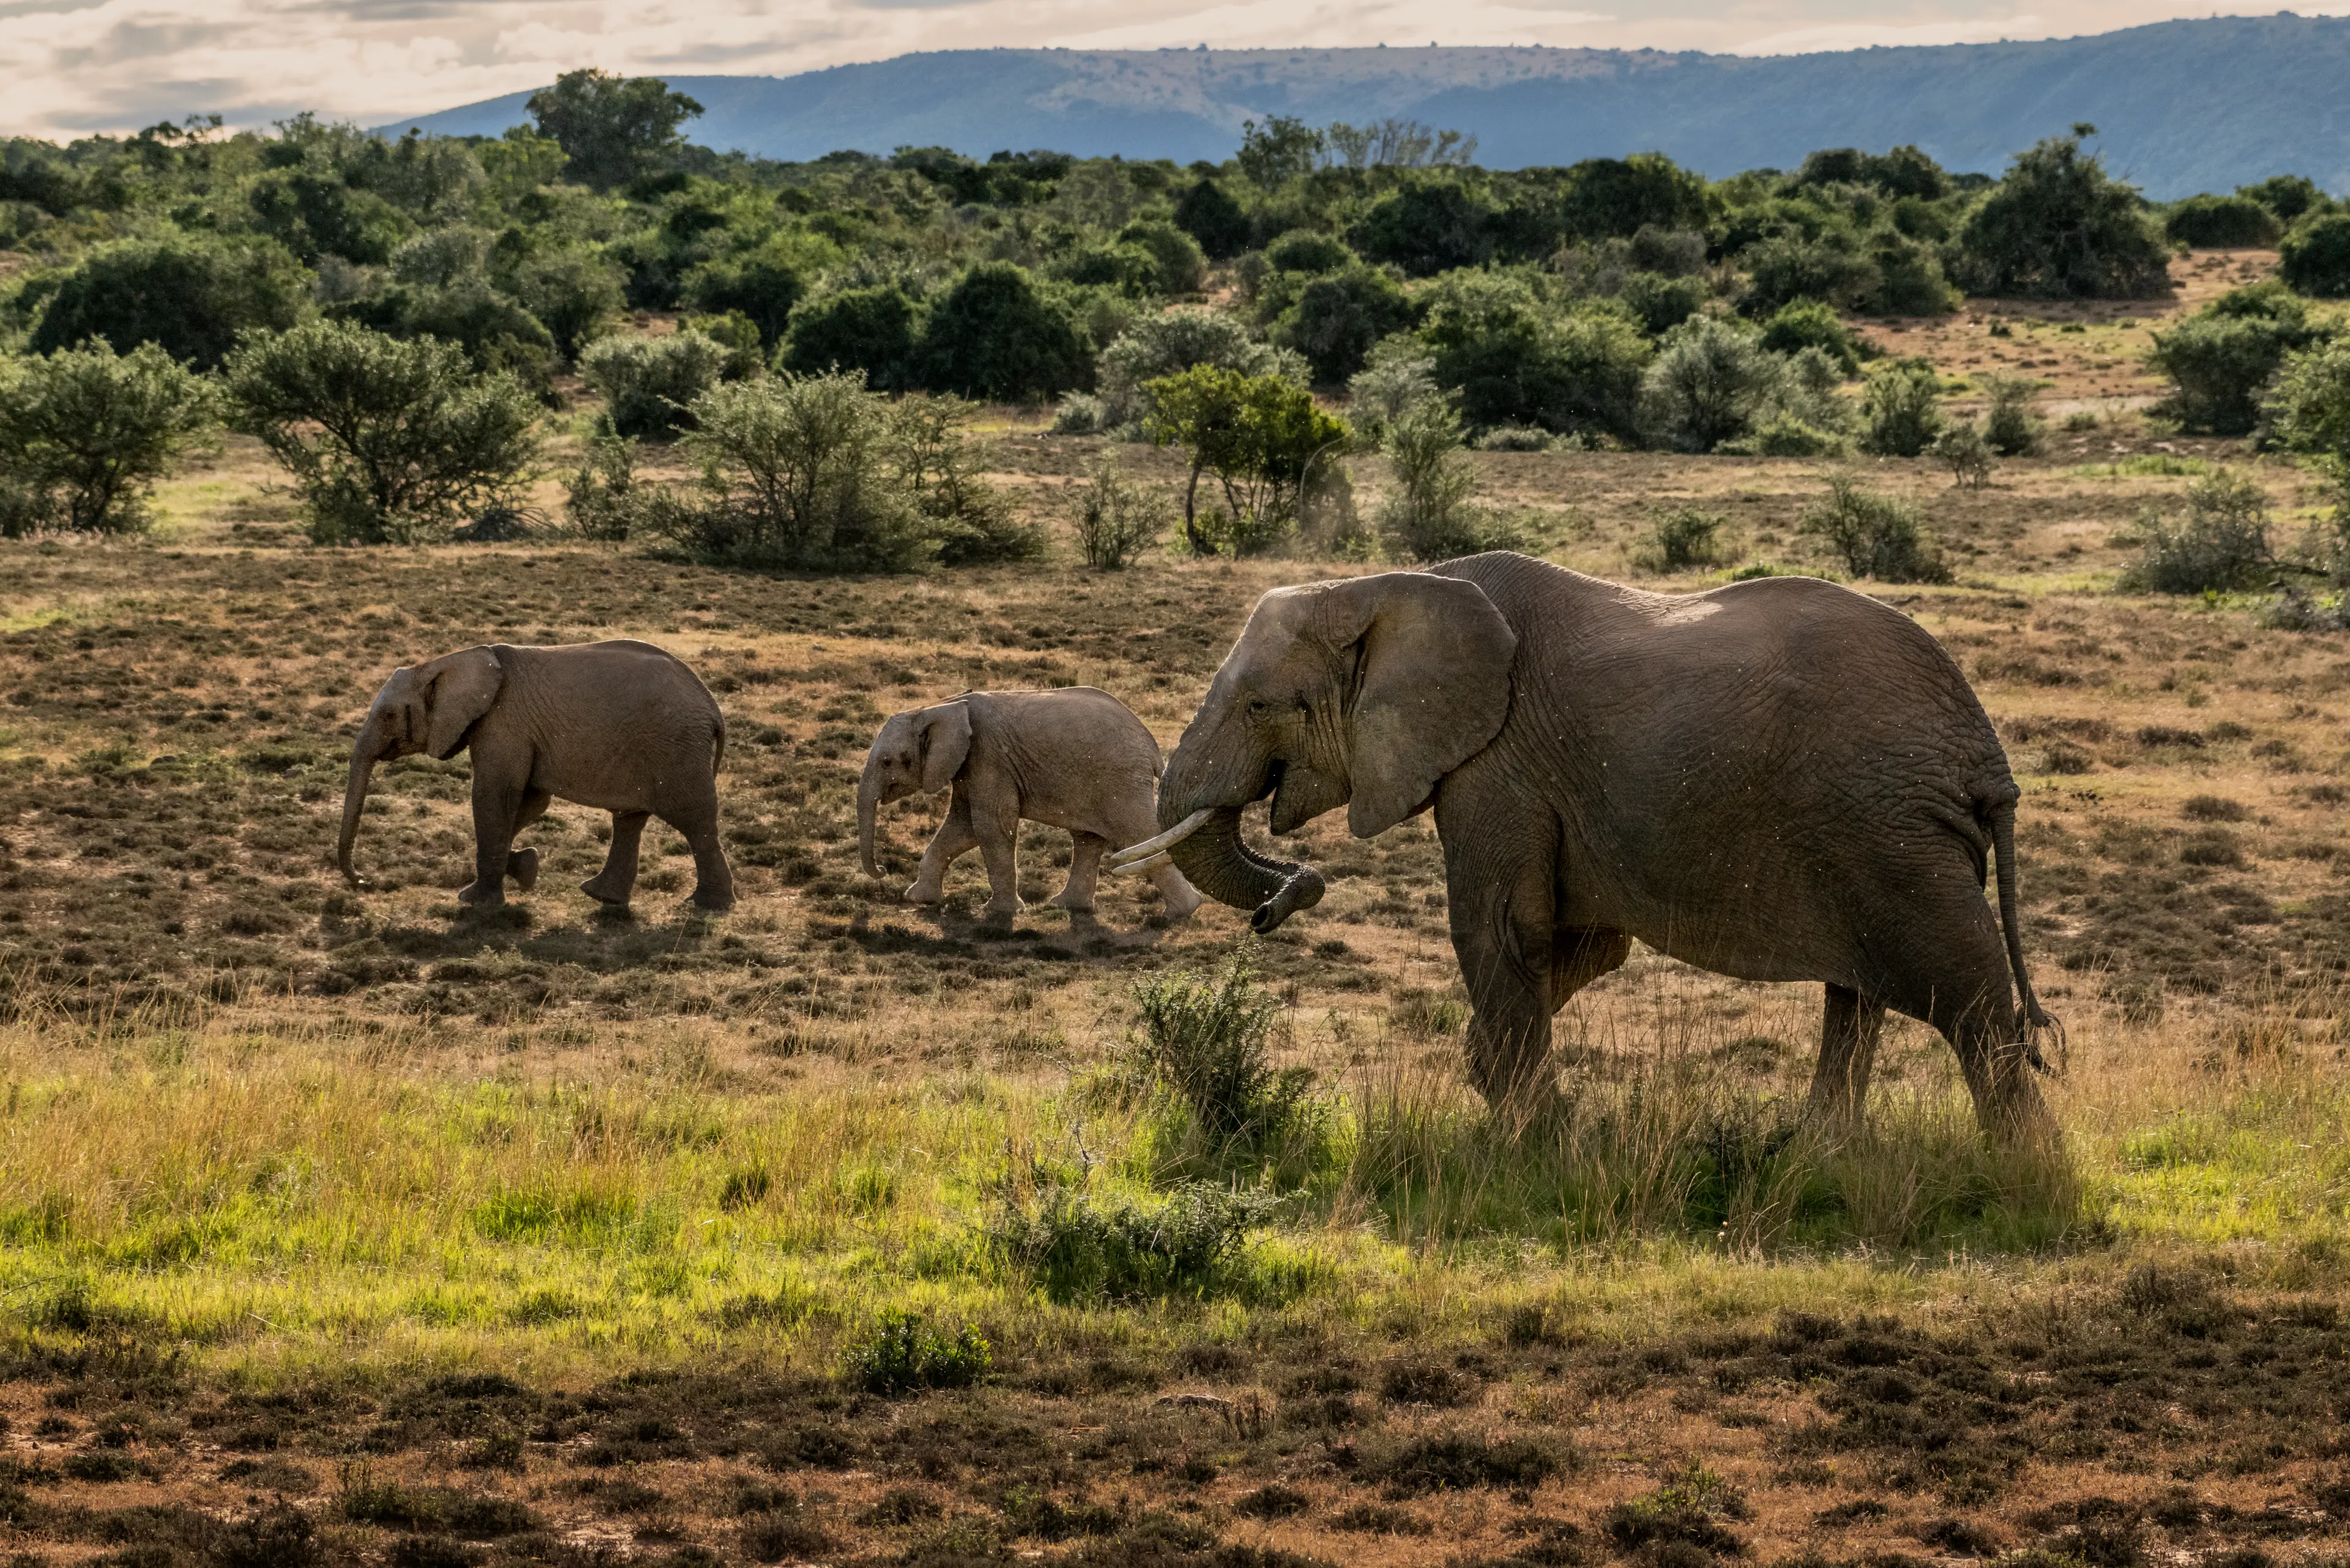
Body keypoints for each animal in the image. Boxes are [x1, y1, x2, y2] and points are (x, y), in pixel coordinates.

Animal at [338, 640, 734, 913]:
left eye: (389, 715)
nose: (365, 880)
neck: (444, 662)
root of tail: (713, 707)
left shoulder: (502, 724)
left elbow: (494, 796)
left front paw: (475, 901)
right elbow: (529, 802)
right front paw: (526, 867)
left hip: (676, 748)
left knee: (695, 822)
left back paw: (707, 906)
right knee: (630, 820)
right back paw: (601, 896)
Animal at [857, 688, 1203, 928]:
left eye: (888, 762)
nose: (882, 871)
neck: (943, 706)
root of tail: (1151, 745)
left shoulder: (987, 758)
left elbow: (990, 826)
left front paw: (998, 913)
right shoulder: (969, 765)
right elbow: (962, 829)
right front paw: (920, 899)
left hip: (1119, 779)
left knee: (1139, 833)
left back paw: (1184, 912)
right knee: (1088, 838)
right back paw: (1067, 907)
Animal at [1121, 551, 2059, 1141]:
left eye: (1258, 706)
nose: (1280, 902)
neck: (1388, 585)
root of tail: (1986, 756)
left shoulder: (1498, 763)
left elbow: (1504, 930)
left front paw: (1529, 1141)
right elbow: (1585, 947)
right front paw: (1510, 1100)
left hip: (1895, 835)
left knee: (1971, 1001)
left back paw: (2024, 1174)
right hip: (1875, 832)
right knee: (1858, 998)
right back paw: (1822, 1155)